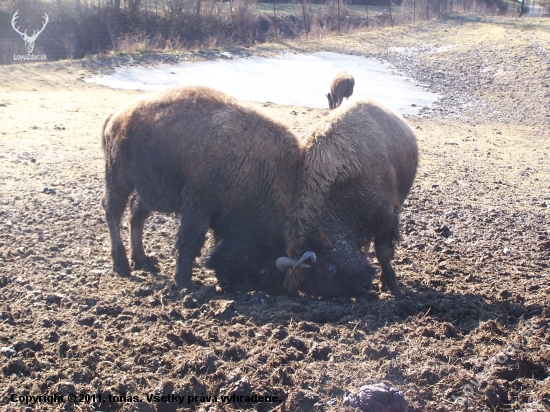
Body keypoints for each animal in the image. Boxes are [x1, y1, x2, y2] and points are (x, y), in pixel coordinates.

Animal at [101, 85, 304, 292]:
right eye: (264, 272)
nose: (227, 282)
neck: (260, 171)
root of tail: (115, 116)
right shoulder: (200, 204)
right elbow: (190, 242)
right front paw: (184, 282)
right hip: (119, 176)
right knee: (113, 211)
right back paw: (122, 264)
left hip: (149, 189)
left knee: (136, 214)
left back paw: (142, 260)